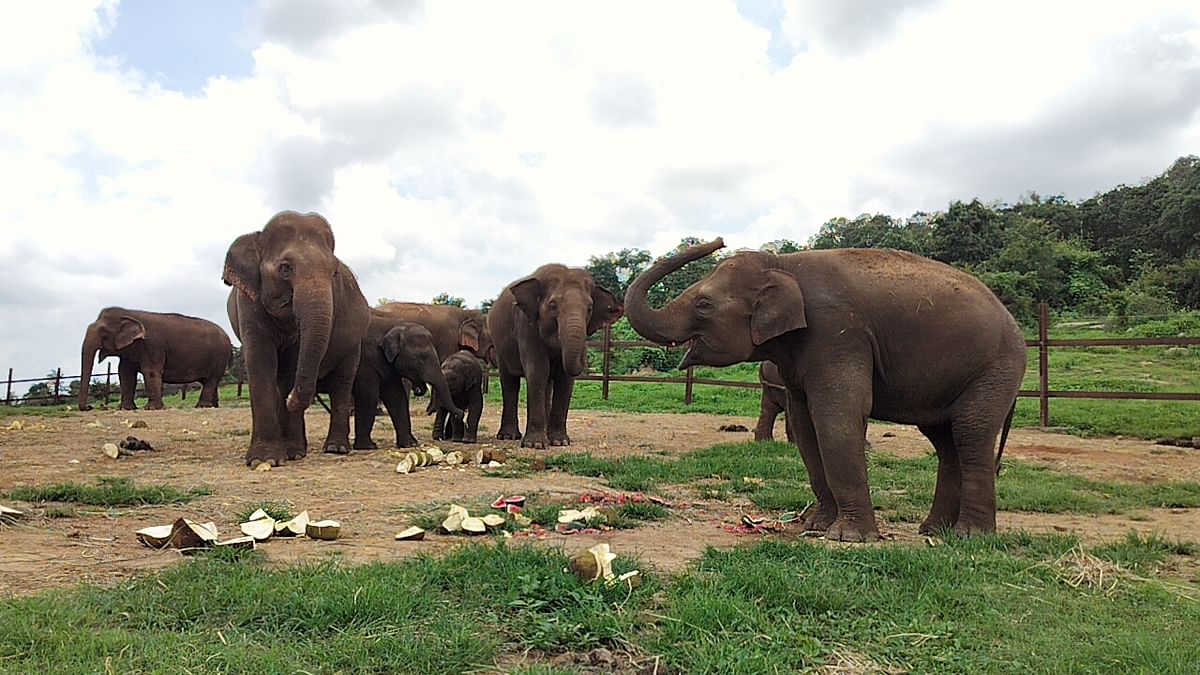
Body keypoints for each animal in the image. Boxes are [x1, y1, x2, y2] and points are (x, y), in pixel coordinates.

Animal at [78, 306, 234, 410]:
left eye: (103, 332)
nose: (90, 407)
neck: (129, 313)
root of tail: (229, 339)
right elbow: (125, 374)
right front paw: (126, 408)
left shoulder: (153, 345)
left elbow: (150, 371)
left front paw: (152, 408)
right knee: (209, 381)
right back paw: (213, 406)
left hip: (219, 357)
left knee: (211, 380)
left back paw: (201, 406)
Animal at [223, 212, 367, 466]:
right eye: (285, 268)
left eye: (334, 273)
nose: (291, 399)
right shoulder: (247, 301)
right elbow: (261, 362)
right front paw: (264, 460)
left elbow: (291, 365)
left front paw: (289, 453)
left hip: (353, 344)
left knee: (342, 383)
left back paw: (336, 448)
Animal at [350, 317, 463, 451]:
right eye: (422, 357)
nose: (461, 414)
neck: (393, 325)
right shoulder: (366, 360)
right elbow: (368, 395)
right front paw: (368, 446)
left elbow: (396, 396)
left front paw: (410, 444)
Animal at [487, 263, 624, 446]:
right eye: (552, 306)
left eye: (589, 308)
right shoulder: (526, 324)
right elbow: (538, 370)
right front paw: (535, 445)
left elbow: (564, 377)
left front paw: (559, 442)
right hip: (500, 346)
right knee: (510, 382)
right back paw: (508, 436)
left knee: (547, 383)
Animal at [624, 239, 1027, 538]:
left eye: (704, 304)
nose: (719, 240)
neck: (783, 264)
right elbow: (805, 425)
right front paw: (817, 526)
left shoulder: (837, 333)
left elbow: (836, 417)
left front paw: (849, 538)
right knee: (945, 441)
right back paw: (933, 531)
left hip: (996, 368)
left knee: (970, 432)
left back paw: (969, 537)